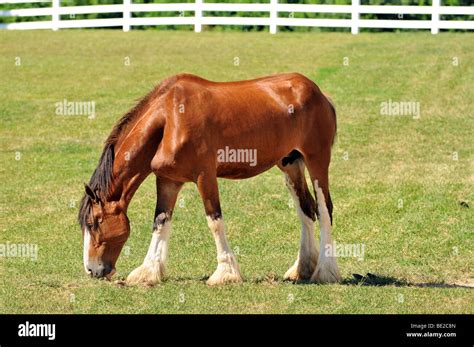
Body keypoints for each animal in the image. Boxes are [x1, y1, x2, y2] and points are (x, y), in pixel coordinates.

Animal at [79, 72, 342, 286]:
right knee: (305, 209)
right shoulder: (168, 180)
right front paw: (149, 270)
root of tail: (320, 93)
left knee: (324, 209)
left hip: (317, 161)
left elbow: (214, 221)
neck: (169, 118)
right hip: (290, 163)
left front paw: (226, 272)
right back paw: (302, 268)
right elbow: (160, 222)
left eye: (94, 223)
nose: (91, 269)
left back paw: (325, 270)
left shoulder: (205, 176)